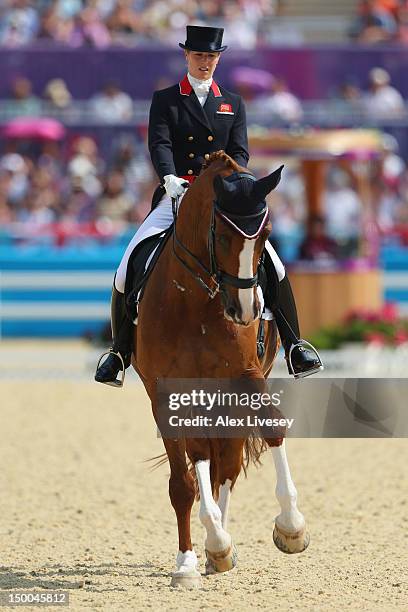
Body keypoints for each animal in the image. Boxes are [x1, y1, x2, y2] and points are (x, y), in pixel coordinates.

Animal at [132, 153, 308, 588]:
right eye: (223, 236)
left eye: (266, 235)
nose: (244, 311)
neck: (196, 299)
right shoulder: (167, 392)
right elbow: (186, 478)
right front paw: (194, 558)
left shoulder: (246, 376)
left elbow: (272, 428)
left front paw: (291, 527)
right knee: (194, 473)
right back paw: (202, 554)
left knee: (226, 466)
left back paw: (220, 551)